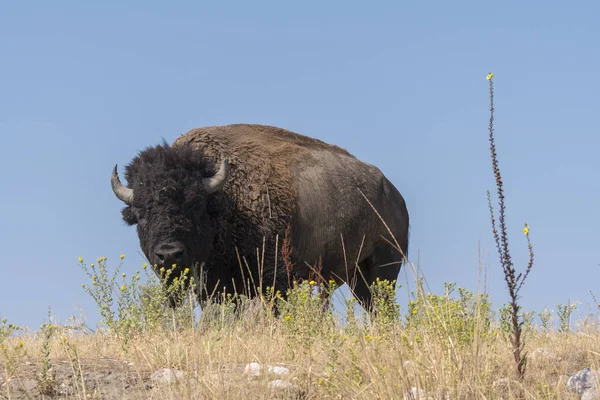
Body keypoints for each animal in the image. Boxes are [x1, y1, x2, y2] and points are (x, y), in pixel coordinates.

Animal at [110, 123, 410, 310]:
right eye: (141, 213)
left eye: (195, 206)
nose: (169, 254)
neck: (225, 201)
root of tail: (395, 195)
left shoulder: (274, 277)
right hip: (356, 276)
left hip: (383, 265)